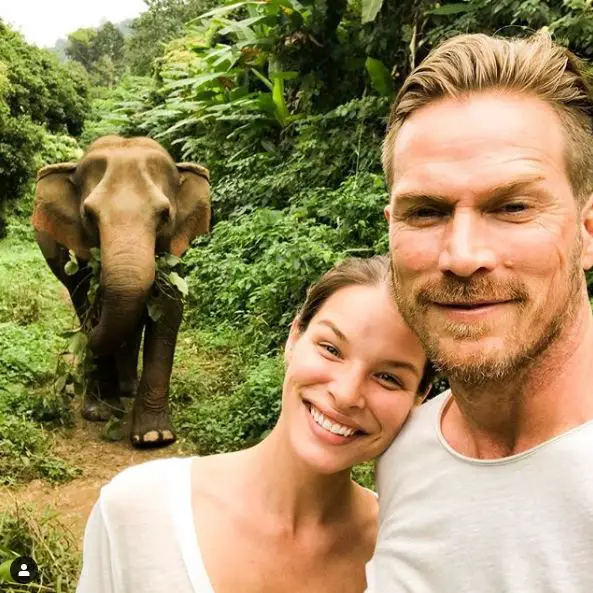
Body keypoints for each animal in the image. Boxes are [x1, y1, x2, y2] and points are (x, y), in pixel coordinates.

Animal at [31, 135, 210, 448]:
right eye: (89, 215)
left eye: (165, 215)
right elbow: (92, 301)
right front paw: (102, 413)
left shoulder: (174, 249)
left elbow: (168, 309)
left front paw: (154, 437)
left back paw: (128, 389)